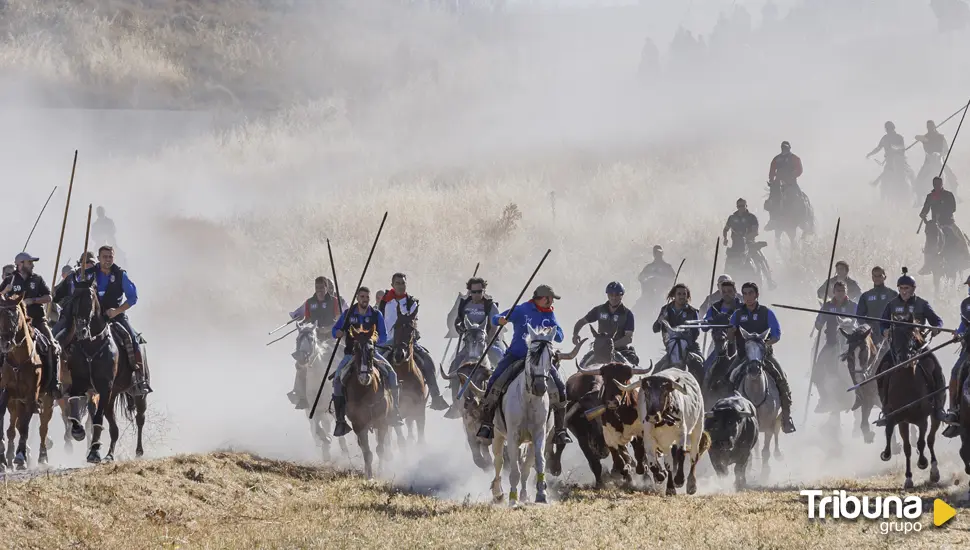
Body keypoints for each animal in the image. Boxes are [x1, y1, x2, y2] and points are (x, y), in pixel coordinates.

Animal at [0, 296, 54, 472]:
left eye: (14, 315)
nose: (5, 343)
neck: (18, 361)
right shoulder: (5, 392)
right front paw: (3, 459)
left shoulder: (32, 396)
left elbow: (25, 427)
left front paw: (20, 457)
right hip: (16, 403)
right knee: (12, 428)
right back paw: (8, 458)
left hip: (47, 401)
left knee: (43, 429)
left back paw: (42, 458)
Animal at [342, 326, 392, 480]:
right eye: (355, 349)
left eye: (371, 349)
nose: (364, 377)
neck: (366, 391)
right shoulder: (358, 424)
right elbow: (367, 452)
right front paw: (369, 476)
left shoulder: (382, 422)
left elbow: (380, 449)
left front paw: (381, 473)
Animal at [388, 304, 426, 446]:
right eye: (395, 327)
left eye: (412, 328)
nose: (399, 355)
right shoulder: (395, 415)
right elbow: (401, 440)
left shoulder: (420, 411)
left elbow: (421, 438)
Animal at [616, 368, 708, 498]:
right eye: (646, 393)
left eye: (665, 392)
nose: (652, 416)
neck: (663, 421)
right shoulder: (649, 439)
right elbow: (653, 463)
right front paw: (662, 477)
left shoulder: (681, 434)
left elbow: (681, 454)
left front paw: (679, 480)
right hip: (666, 443)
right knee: (668, 462)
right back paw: (670, 487)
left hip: (697, 428)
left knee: (694, 456)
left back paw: (691, 484)